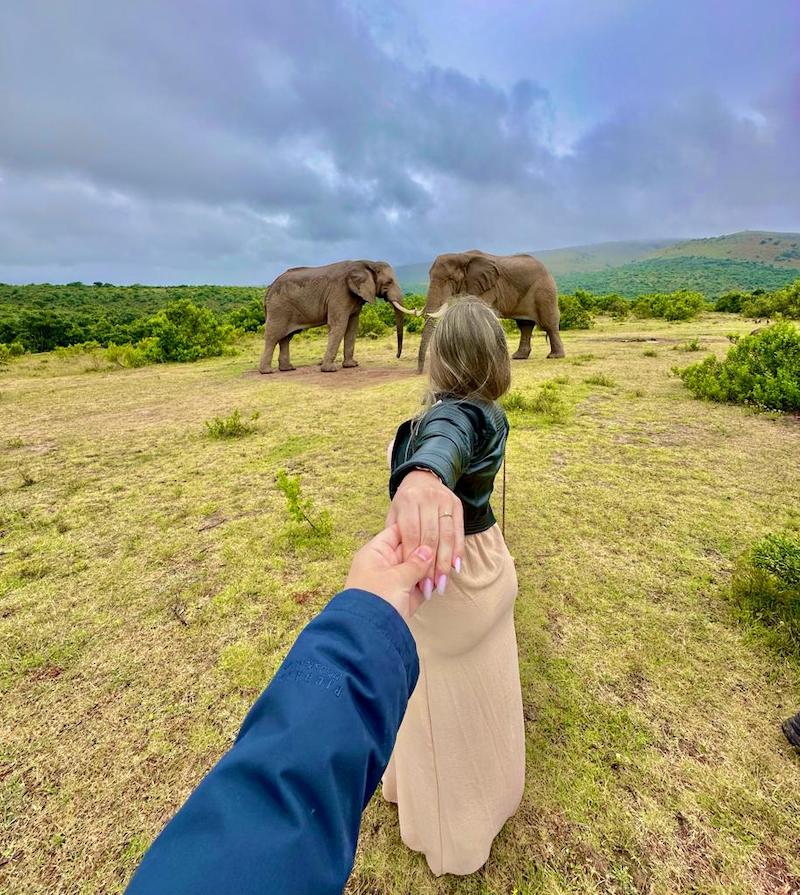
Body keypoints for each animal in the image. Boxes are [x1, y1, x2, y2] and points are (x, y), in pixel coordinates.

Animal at [260, 260, 418, 374]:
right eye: (389, 282)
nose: (397, 356)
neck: (367, 262)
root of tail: (269, 289)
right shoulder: (339, 293)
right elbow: (339, 326)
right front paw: (330, 370)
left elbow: (352, 327)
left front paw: (352, 365)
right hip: (278, 308)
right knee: (273, 336)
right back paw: (267, 372)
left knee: (286, 338)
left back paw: (288, 369)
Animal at [412, 248, 568, 372]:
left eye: (450, 279)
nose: (419, 372)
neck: (461, 256)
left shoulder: (487, 288)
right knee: (525, 325)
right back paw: (518, 357)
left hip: (544, 290)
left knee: (549, 324)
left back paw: (554, 356)